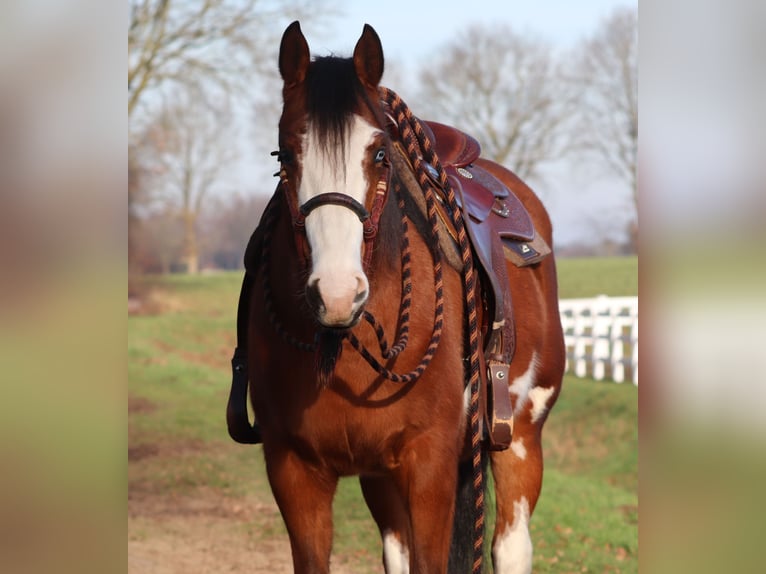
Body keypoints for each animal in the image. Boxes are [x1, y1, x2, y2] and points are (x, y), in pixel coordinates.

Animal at [229, 21, 565, 574]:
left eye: (380, 154)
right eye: (286, 156)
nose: (337, 293)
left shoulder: (428, 465)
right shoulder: (295, 470)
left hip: (520, 439)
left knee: (511, 545)